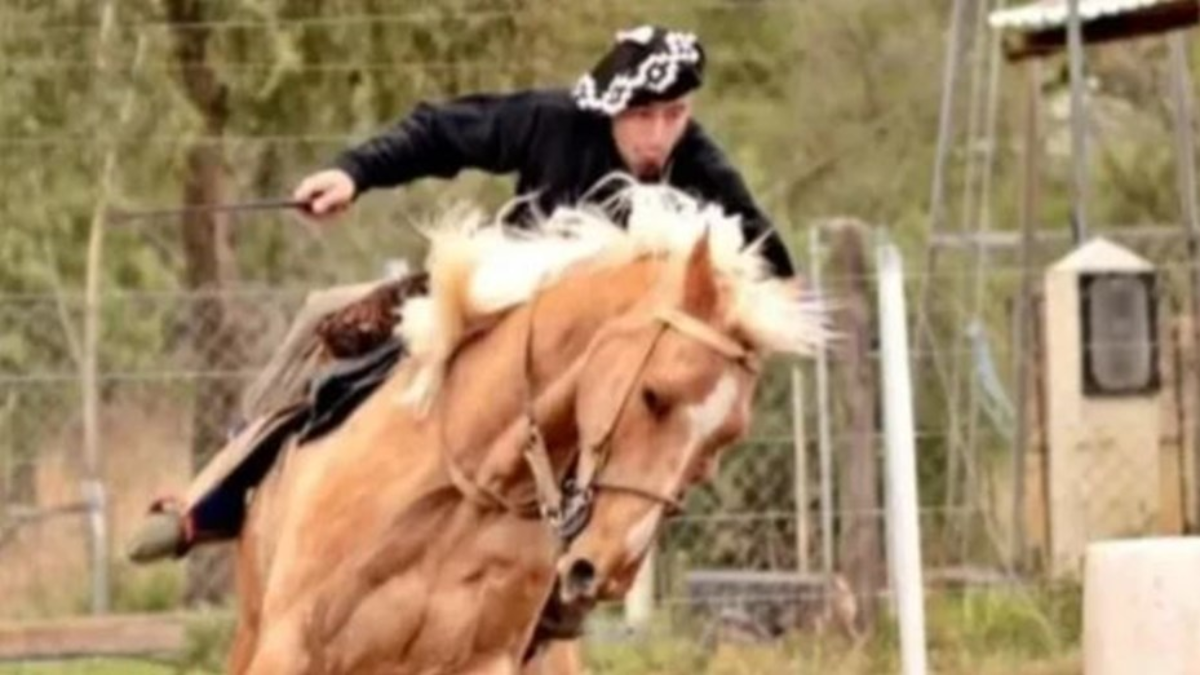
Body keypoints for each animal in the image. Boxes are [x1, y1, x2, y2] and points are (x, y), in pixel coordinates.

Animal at [229, 185, 825, 674]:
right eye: (654, 395)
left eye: (721, 444)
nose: (608, 570)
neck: (469, 484)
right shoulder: (288, 647)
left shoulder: (488, 661)